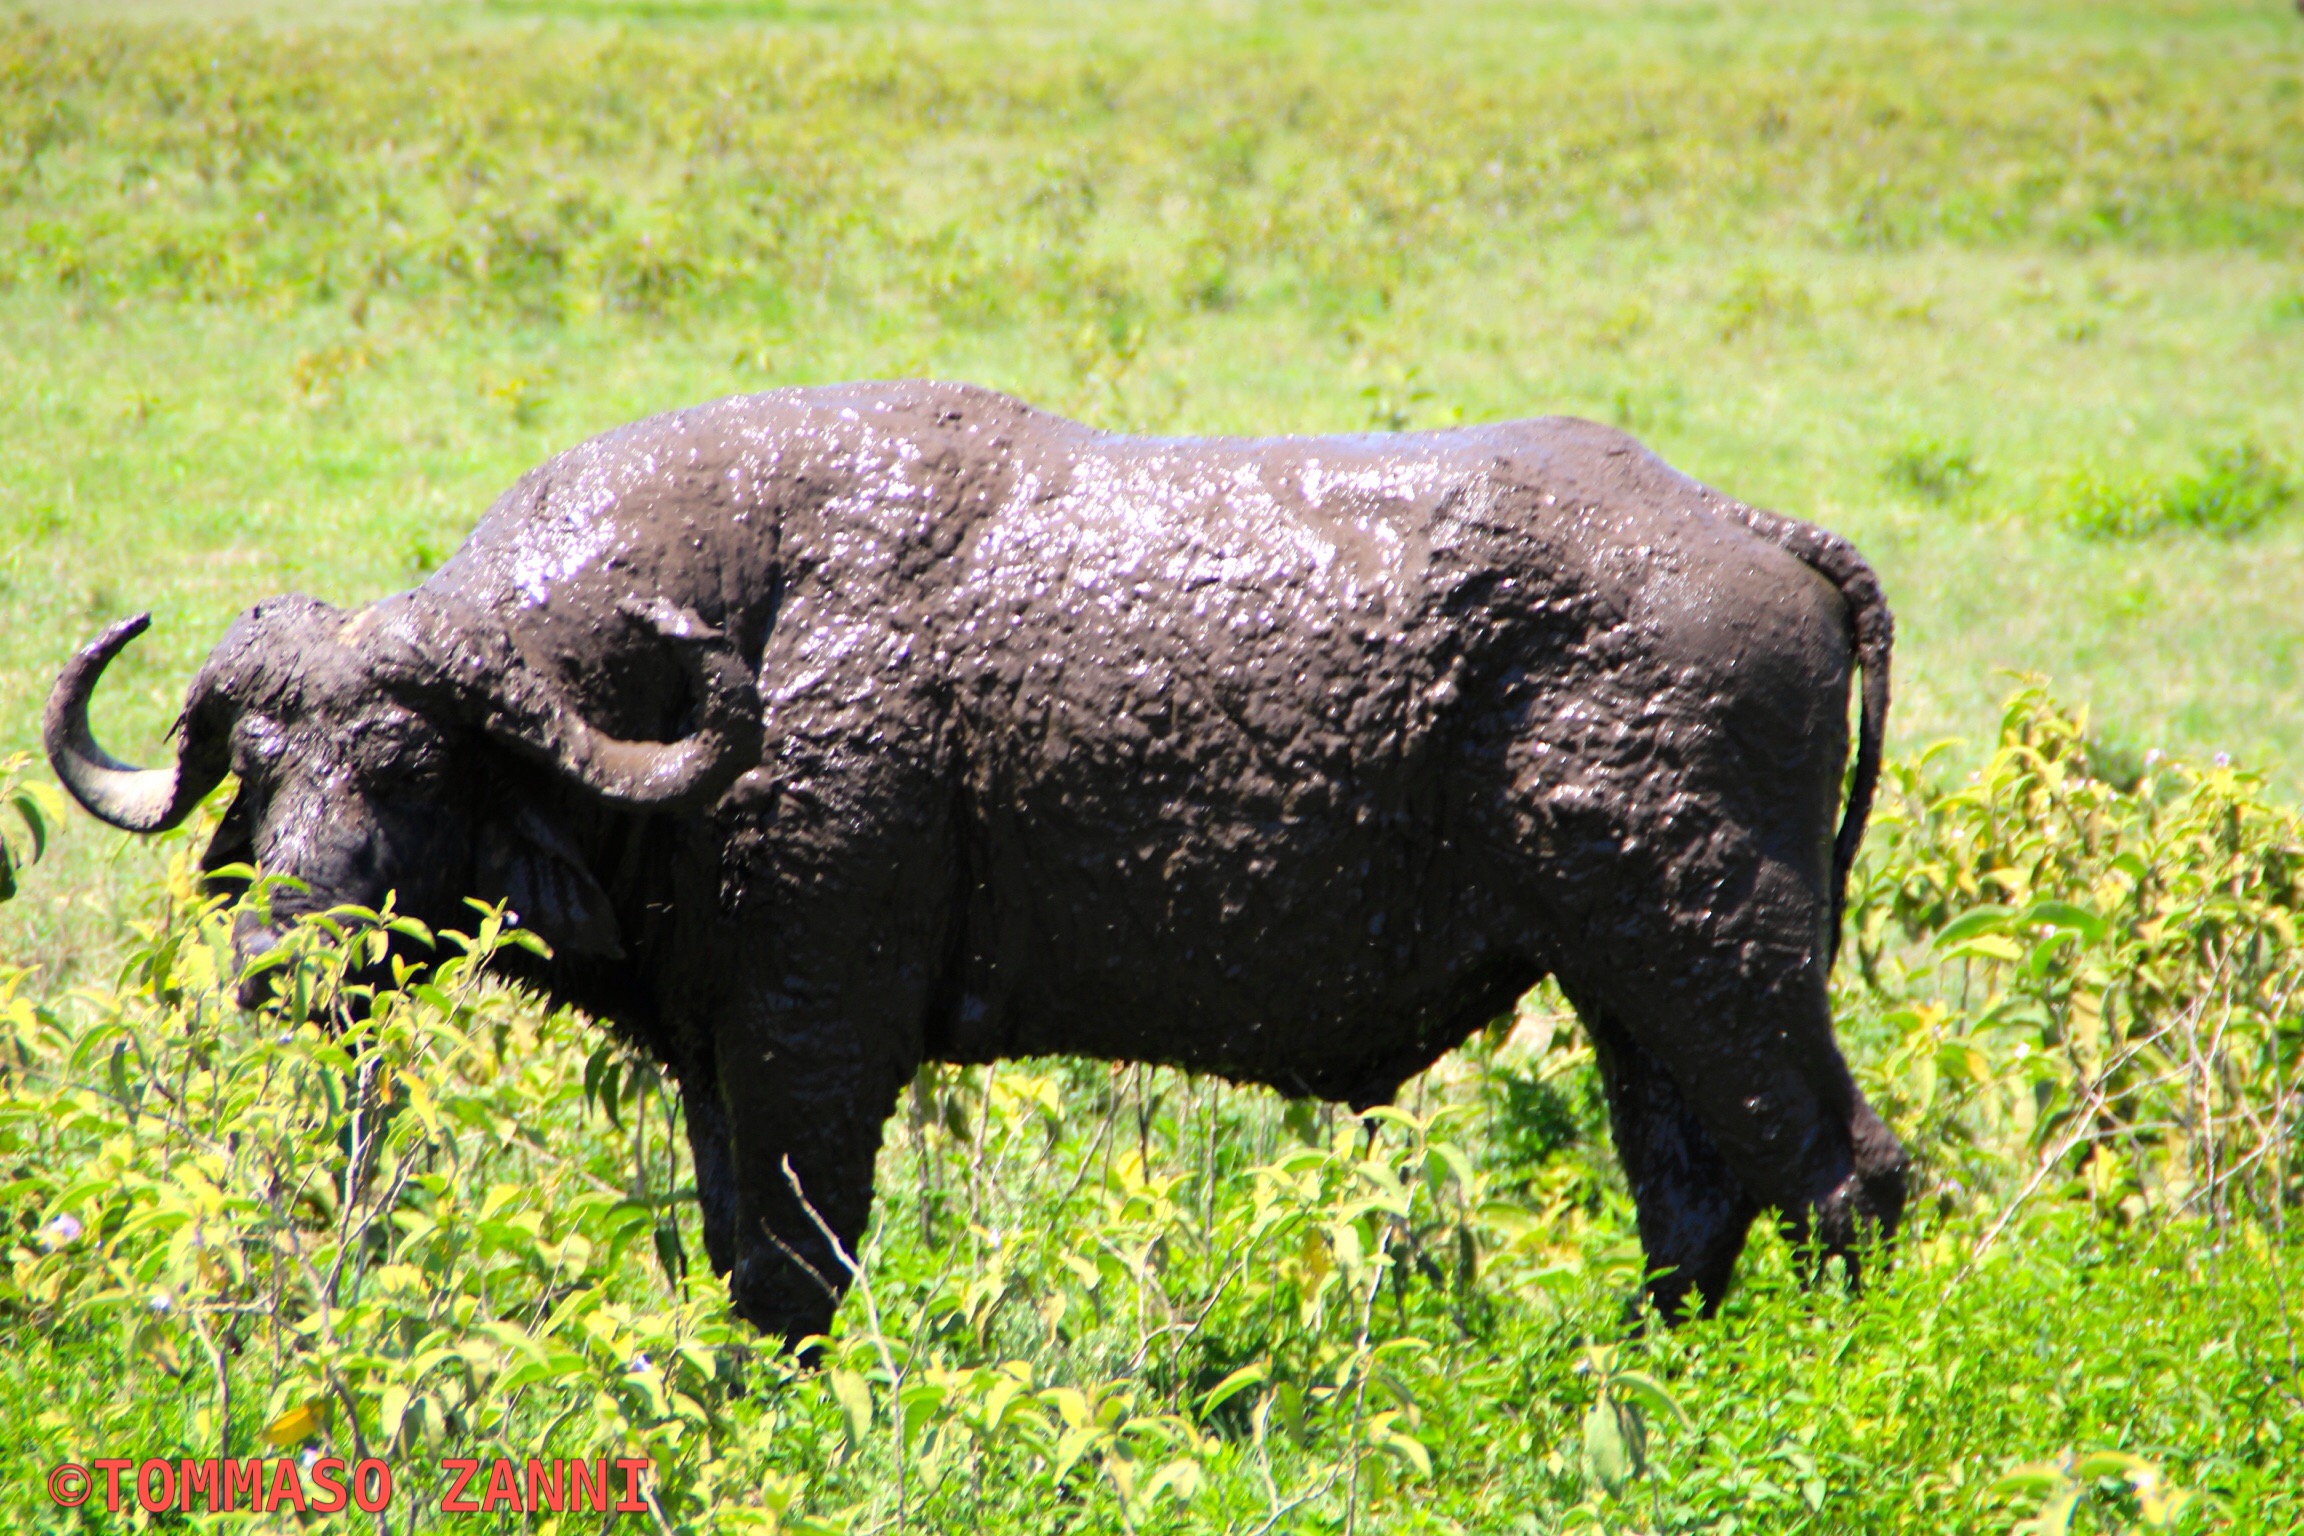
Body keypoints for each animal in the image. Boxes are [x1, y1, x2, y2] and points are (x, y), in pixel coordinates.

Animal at [47, 380, 1907, 1345]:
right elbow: (733, 1252)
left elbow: (793, 1270)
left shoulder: (814, 1048)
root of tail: (1756, 533)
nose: (281, 960)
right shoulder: (719, 1062)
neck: (714, 657)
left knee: (1843, 1176)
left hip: (1714, 957)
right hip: (1630, 988)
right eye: (262, 767)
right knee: (1691, 1195)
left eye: (413, 766)